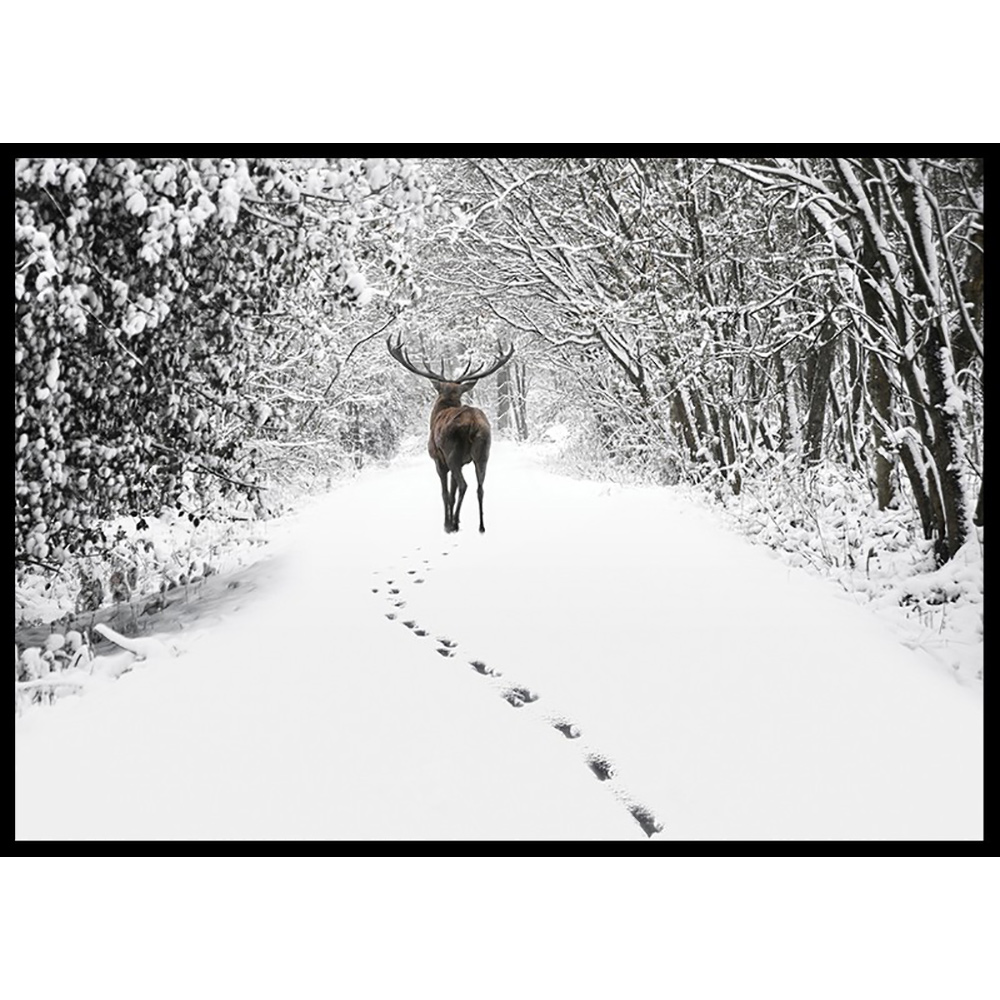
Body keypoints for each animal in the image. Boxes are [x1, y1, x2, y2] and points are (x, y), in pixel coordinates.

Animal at [388, 334, 515, 533]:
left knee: (464, 485)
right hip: (483, 452)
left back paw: (453, 524)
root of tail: (473, 423)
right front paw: (457, 520)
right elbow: (453, 492)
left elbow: (446, 493)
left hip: (452, 452)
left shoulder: (438, 460)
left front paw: (447, 523)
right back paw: (481, 526)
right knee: (480, 487)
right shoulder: (462, 462)